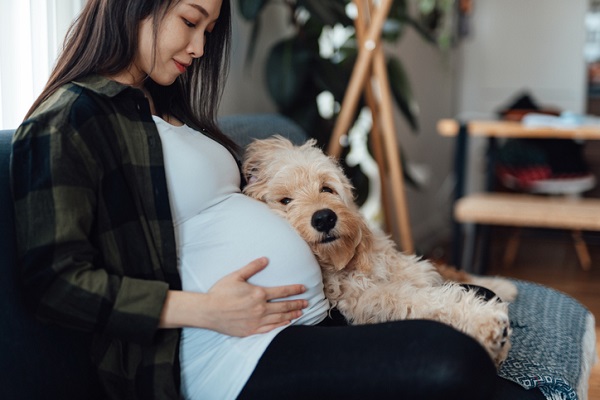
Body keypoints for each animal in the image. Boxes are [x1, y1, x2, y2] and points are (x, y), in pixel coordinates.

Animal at [243, 136, 516, 368]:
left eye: (326, 188)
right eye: (286, 201)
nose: (324, 218)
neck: (346, 263)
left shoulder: (412, 267)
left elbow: (444, 278)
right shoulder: (374, 299)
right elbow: (429, 301)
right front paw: (486, 323)